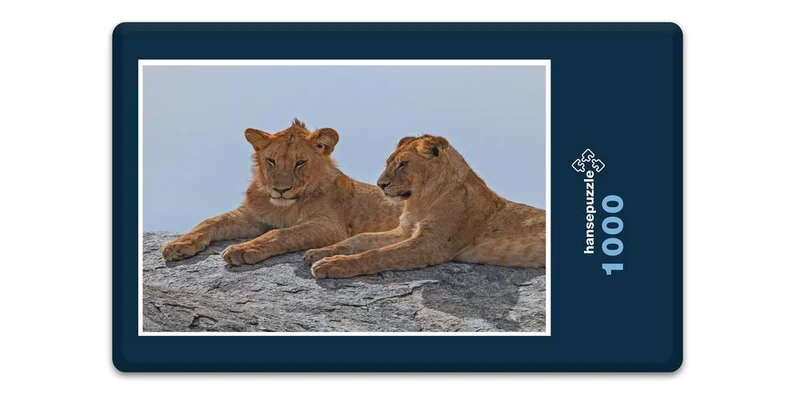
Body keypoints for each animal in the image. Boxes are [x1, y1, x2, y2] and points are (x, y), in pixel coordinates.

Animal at [161, 119, 402, 266]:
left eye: (300, 163)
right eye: (271, 160)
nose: (280, 190)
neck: (285, 206)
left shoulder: (330, 226)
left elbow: (279, 233)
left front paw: (242, 249)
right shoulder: (251, 216)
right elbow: (209, 222)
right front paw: (178, 245)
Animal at [304, 134, 546, 279]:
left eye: (403, 164)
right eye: (388, 163)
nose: (380, 184)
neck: (420, 200)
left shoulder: (431, 244)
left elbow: (377, 254)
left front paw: (331, 265)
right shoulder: (405, 231)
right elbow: (360, 239)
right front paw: (319, 252)